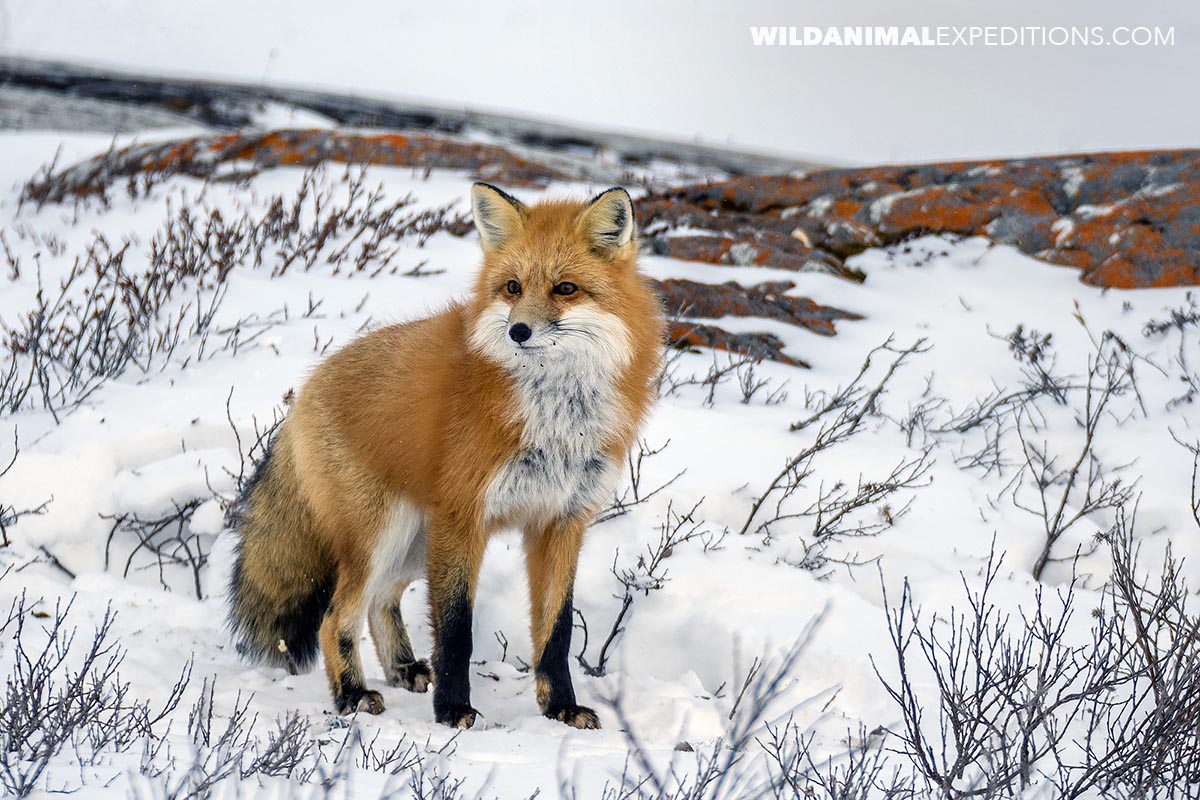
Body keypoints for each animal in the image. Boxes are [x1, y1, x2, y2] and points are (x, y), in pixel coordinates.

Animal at [227, 182, 664, 728]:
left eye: (565, 288)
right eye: (513, 287)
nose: (519, 331)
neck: (557, 416)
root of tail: (306, 387)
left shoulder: (561, 521)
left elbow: (555, 632)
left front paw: (561, 706)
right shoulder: (463, 515)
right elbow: (457, 630)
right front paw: (454, 709)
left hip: (414, 544)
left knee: (380, 601)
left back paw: (403, 668)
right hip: (382, 534)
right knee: (336, 616)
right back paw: (352, 694)